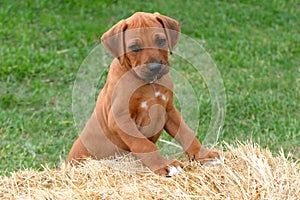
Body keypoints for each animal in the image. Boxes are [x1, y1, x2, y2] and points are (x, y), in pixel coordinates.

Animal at [66, 11, 220, 176]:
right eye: (134, 48)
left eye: (161, 41)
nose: (155, 67)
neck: (150, 83)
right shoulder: (121, 119)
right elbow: (144, 145)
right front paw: (164, 165)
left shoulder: (169, 110)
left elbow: (186, 133)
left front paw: (203, 154)